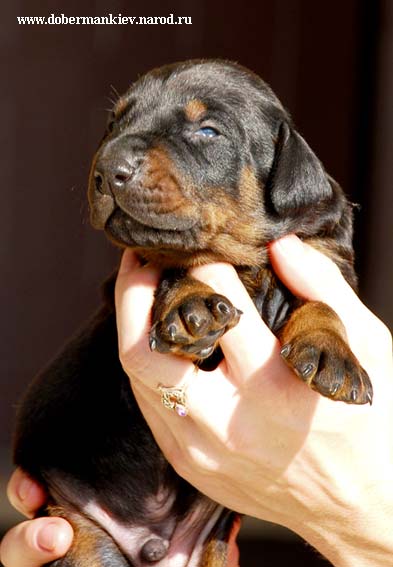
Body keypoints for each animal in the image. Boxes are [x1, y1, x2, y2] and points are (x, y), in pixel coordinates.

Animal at [13, 60, 372, 564]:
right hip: (78, 533)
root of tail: (152, 543)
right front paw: (190, 307)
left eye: (207, 131)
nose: (107, 169)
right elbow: (177, 262)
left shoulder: (324, 255)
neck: (244, 259)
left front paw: (329, 354)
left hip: (212, 546)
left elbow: (322, 301)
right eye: (114, 123)